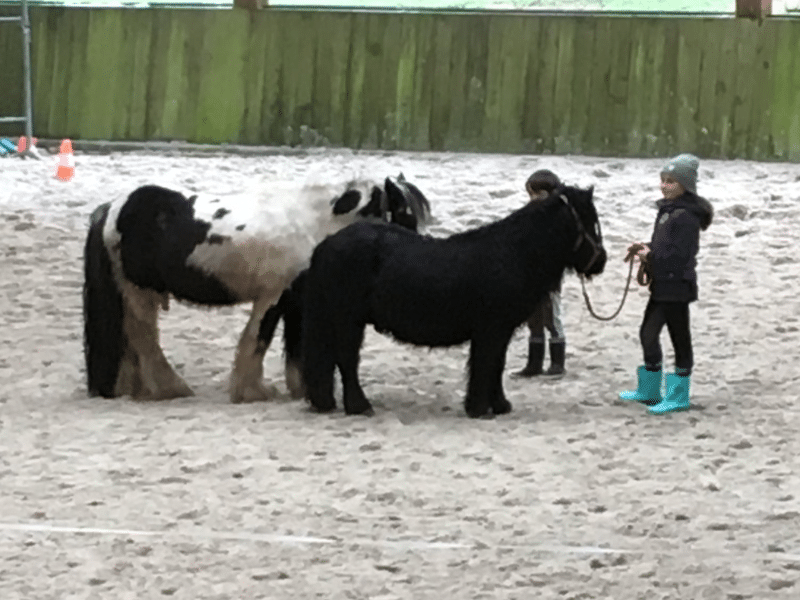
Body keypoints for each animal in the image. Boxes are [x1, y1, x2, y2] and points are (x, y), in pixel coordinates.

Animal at [300, 185, 608, 420]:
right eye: (588, 221)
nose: (601, 261)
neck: (513, 253)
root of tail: (325, 245)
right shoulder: (491, 330)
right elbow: (485, 365)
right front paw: (480, 408)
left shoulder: (499, 331)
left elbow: (496, 365)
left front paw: (499, 405)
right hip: (348, 320)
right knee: (347, 360)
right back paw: (359, 406)